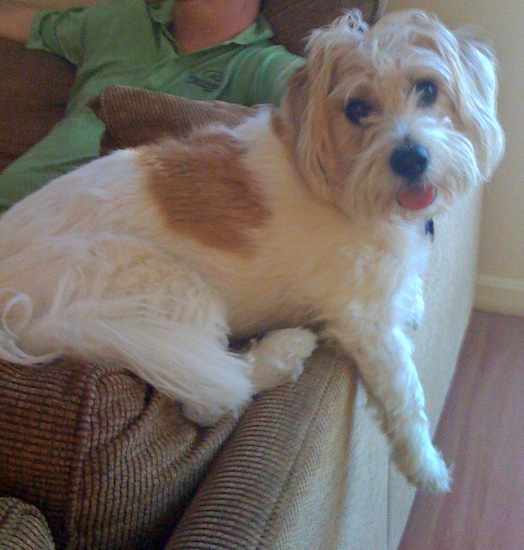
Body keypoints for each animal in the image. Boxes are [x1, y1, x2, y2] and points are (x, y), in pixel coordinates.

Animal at [1, 9, 508, 492]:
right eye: (357, 108)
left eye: (428, 89)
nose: (411, 158)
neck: (342, 183)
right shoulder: (366, 323)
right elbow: (406, 394)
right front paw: (425, 465)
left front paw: (414, 300)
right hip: (167, 285)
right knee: (213, 395)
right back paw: (283, 351)